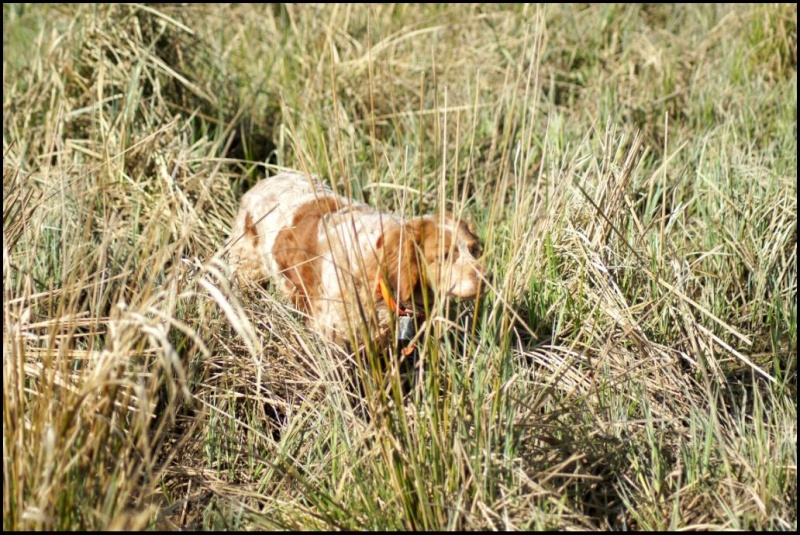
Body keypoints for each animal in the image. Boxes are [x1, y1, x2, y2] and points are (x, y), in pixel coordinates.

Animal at [228, 170, 484, 350]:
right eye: (445, 255)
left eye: (474, 250)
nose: (485, 279)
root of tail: (264, 181)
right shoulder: (334, 336)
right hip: (245, 268)